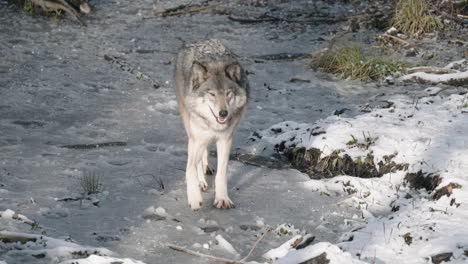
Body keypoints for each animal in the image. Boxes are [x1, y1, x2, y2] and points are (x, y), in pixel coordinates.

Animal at [174, 39, 250, 210]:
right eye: (212, 94)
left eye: (228, 93)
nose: (223, 113)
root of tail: (200, 41)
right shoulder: (197, 137)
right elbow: (190, 168)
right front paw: (194, 197)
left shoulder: (225, 139)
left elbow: (222, 173)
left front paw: (222, 199)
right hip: (191, 130)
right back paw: (201, 182)